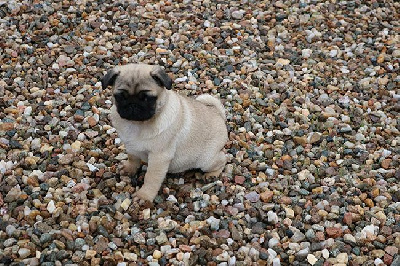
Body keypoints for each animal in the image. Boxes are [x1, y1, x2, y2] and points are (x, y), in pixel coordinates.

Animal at [102, 64, 228, 202]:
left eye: (147, 98)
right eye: (120, 97)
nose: (132, 105)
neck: (137, 124)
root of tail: (218, 114)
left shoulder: (159, 158)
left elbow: (151, 178)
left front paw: (144, 196)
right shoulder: (131, 147)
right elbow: (133, 159)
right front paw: (129, 169)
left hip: (206, 160)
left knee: (222, 159)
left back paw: (212, 175)